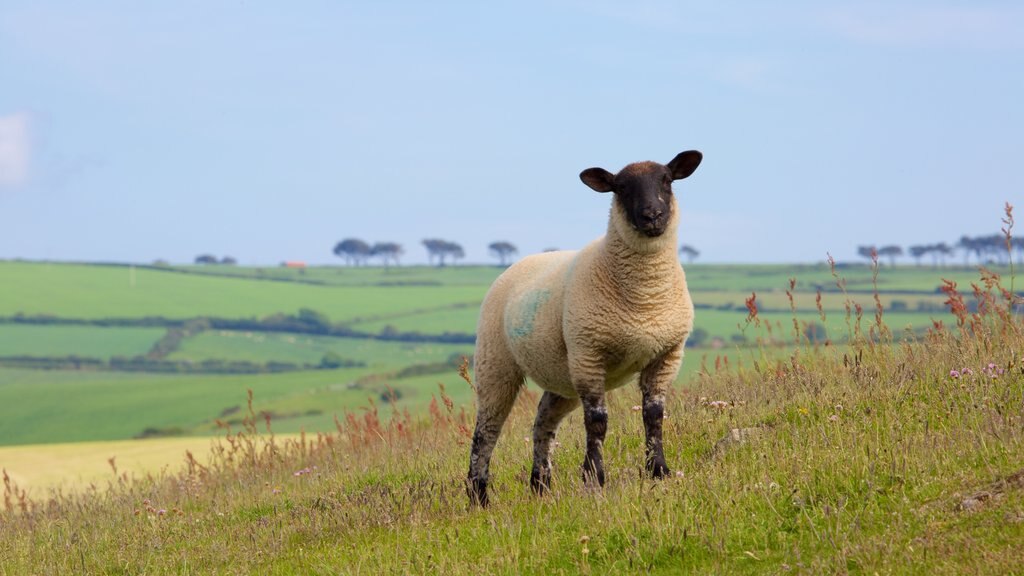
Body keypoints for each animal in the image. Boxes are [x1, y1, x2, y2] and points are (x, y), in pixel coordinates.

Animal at [468, 150, 700, 504]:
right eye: (621, 187)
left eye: (667, 180)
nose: (653, 216)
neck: (644, 297)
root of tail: (523, 261)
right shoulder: (589, 354)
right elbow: (597, 422)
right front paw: (594, 478)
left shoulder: (667, 355)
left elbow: (654, 414)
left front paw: (658, 471)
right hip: (496, 362)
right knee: (486, 430)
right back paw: (478, 495)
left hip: (562, 375)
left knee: (543, 423)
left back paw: (540, 487)